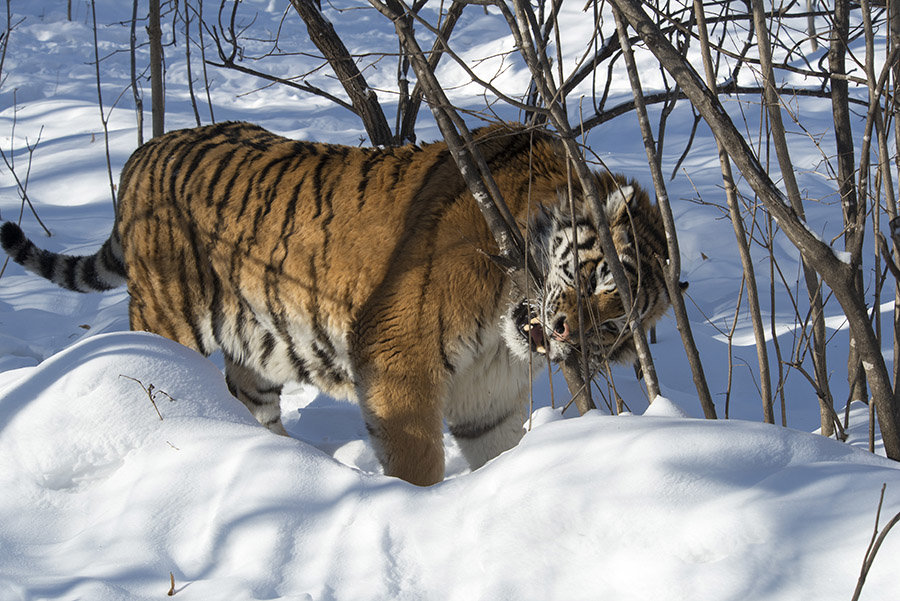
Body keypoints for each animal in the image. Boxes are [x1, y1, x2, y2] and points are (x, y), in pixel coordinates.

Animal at [0, 119, 668, 486]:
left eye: (617, 326)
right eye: (598, 278)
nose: (566, 332)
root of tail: (143, 153)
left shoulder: (491, 398)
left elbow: (496, 453)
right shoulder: (399, 353)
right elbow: (416, 460)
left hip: (256, 345)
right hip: (167, 317)